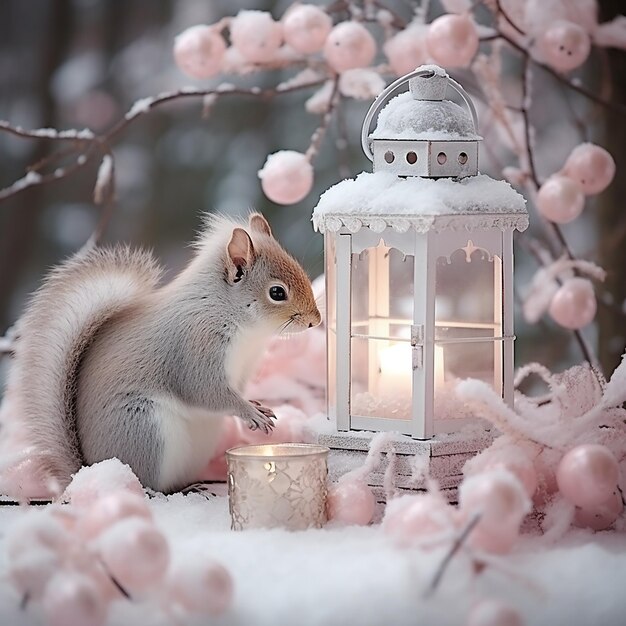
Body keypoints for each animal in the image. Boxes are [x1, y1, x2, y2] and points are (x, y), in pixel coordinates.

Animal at [2, 212, 320, 494]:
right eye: (277, 292)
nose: (315, 321)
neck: (244, 327)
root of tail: (89, 469)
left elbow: (236, 390)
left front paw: (256, 404)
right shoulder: (195, 346)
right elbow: (206, 391)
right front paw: (250, 412)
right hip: (145, 431)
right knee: (147, 485)